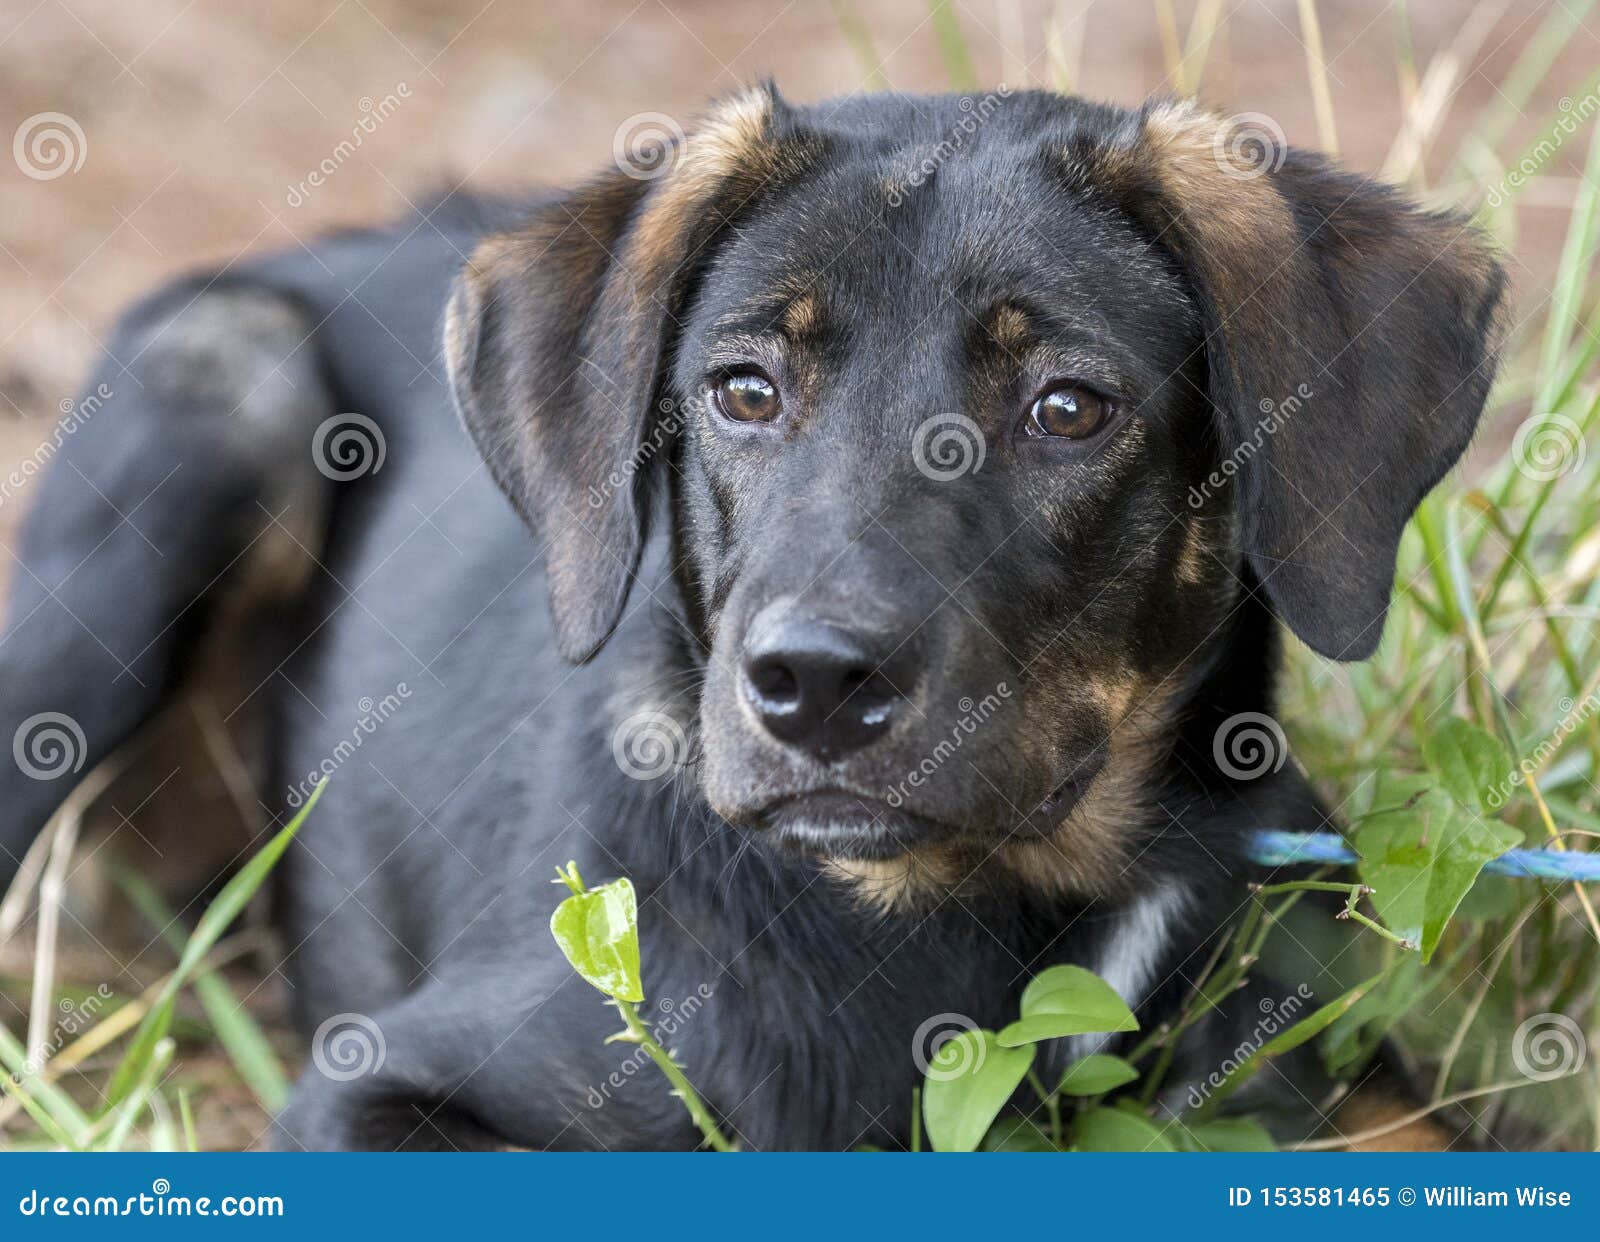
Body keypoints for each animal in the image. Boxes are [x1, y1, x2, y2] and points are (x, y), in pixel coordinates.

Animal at [0, 87, 1497, 1152]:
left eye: (1069, 407)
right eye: (742, 390)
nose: (812, 682)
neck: (993, 923)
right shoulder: (380, 1085)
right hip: (217, 394)